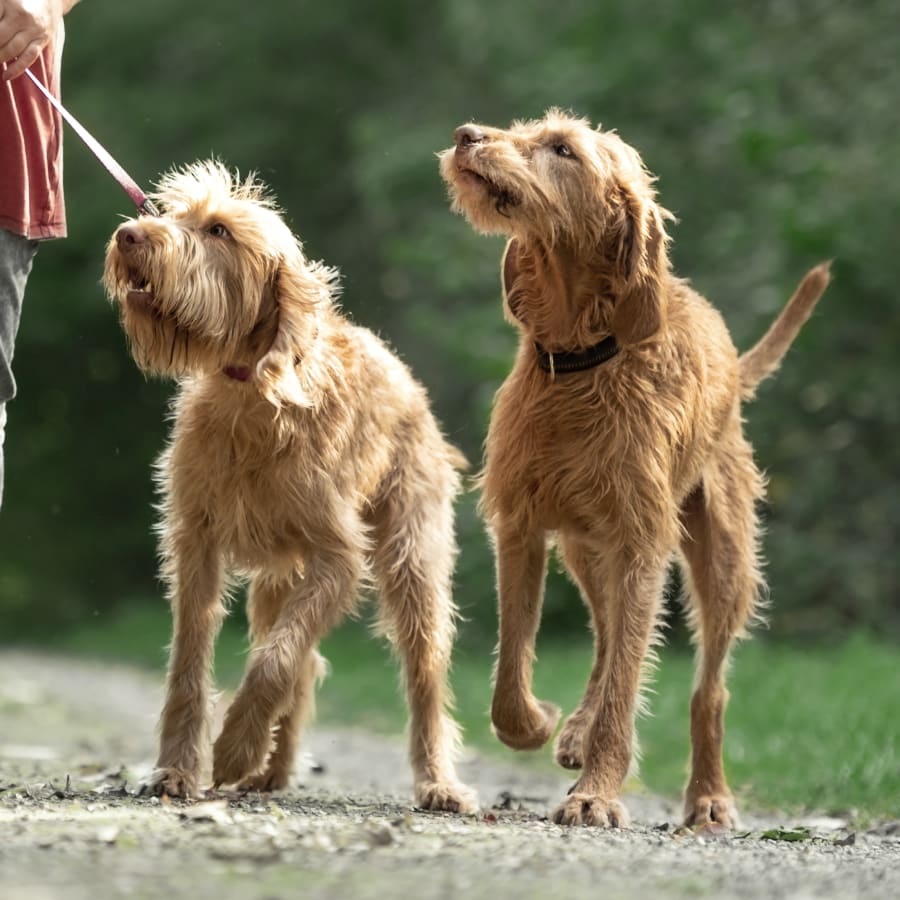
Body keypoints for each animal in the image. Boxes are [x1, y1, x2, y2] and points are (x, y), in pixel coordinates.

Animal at [103, 163, 478, 816]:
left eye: (219, 230)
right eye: (172, 214)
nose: (129, 234)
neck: (248, 392)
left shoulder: (338, 557)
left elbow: (277, 661)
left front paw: (234, 749)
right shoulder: (196, 545)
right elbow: (191, 662)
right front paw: (175, 770)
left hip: (411, 566)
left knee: (419, 677)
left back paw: (437, 782)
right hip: (279, 579)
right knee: (299, 656)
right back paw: (271, 771)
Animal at [440, 109, 828, 828]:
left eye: (562, 150)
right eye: (525, 128)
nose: (466, 135)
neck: (581, 362)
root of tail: (734, 366)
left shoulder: (643, 540)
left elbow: (628, 680)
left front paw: (596, 792)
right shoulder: (521, 527)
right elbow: (512, 671)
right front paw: (539, 724)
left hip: (720, 563)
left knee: (705, 688)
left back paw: (708, 796)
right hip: (584, 550)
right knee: (604, 637)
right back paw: (574, 730)